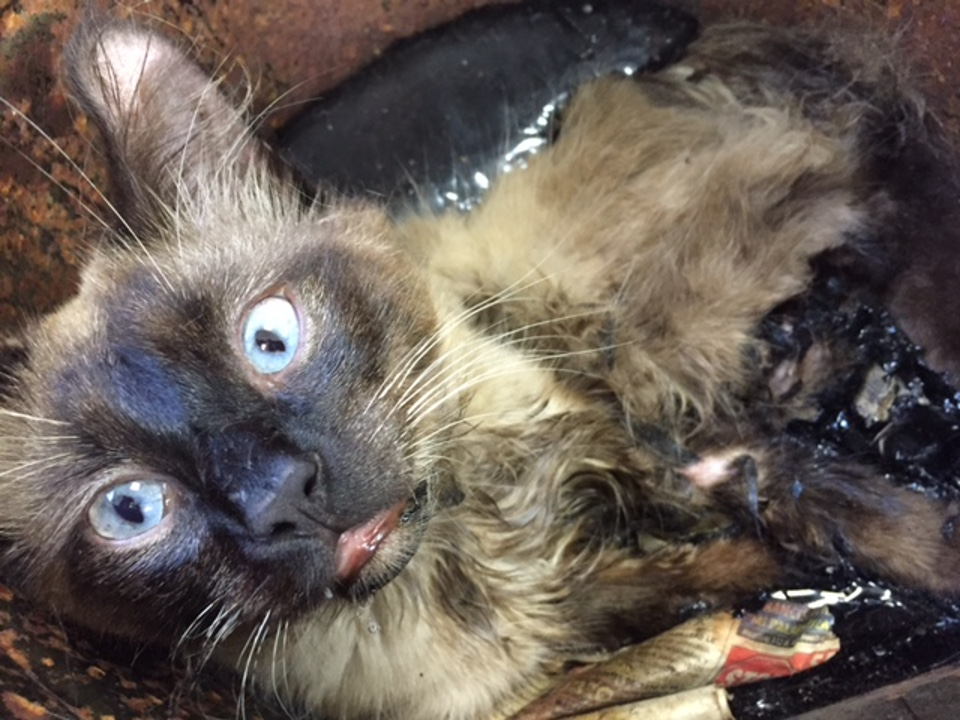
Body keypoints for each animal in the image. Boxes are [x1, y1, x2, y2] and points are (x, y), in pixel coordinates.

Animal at [1, 7, 960, 720]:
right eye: (131, 510)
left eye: (269, 339)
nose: (278, 494)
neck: (476, 535)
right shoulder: (576, 616)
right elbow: (706, 580)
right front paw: (784, 594)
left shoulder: (632, 444)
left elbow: (834, 506)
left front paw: (917, 561)